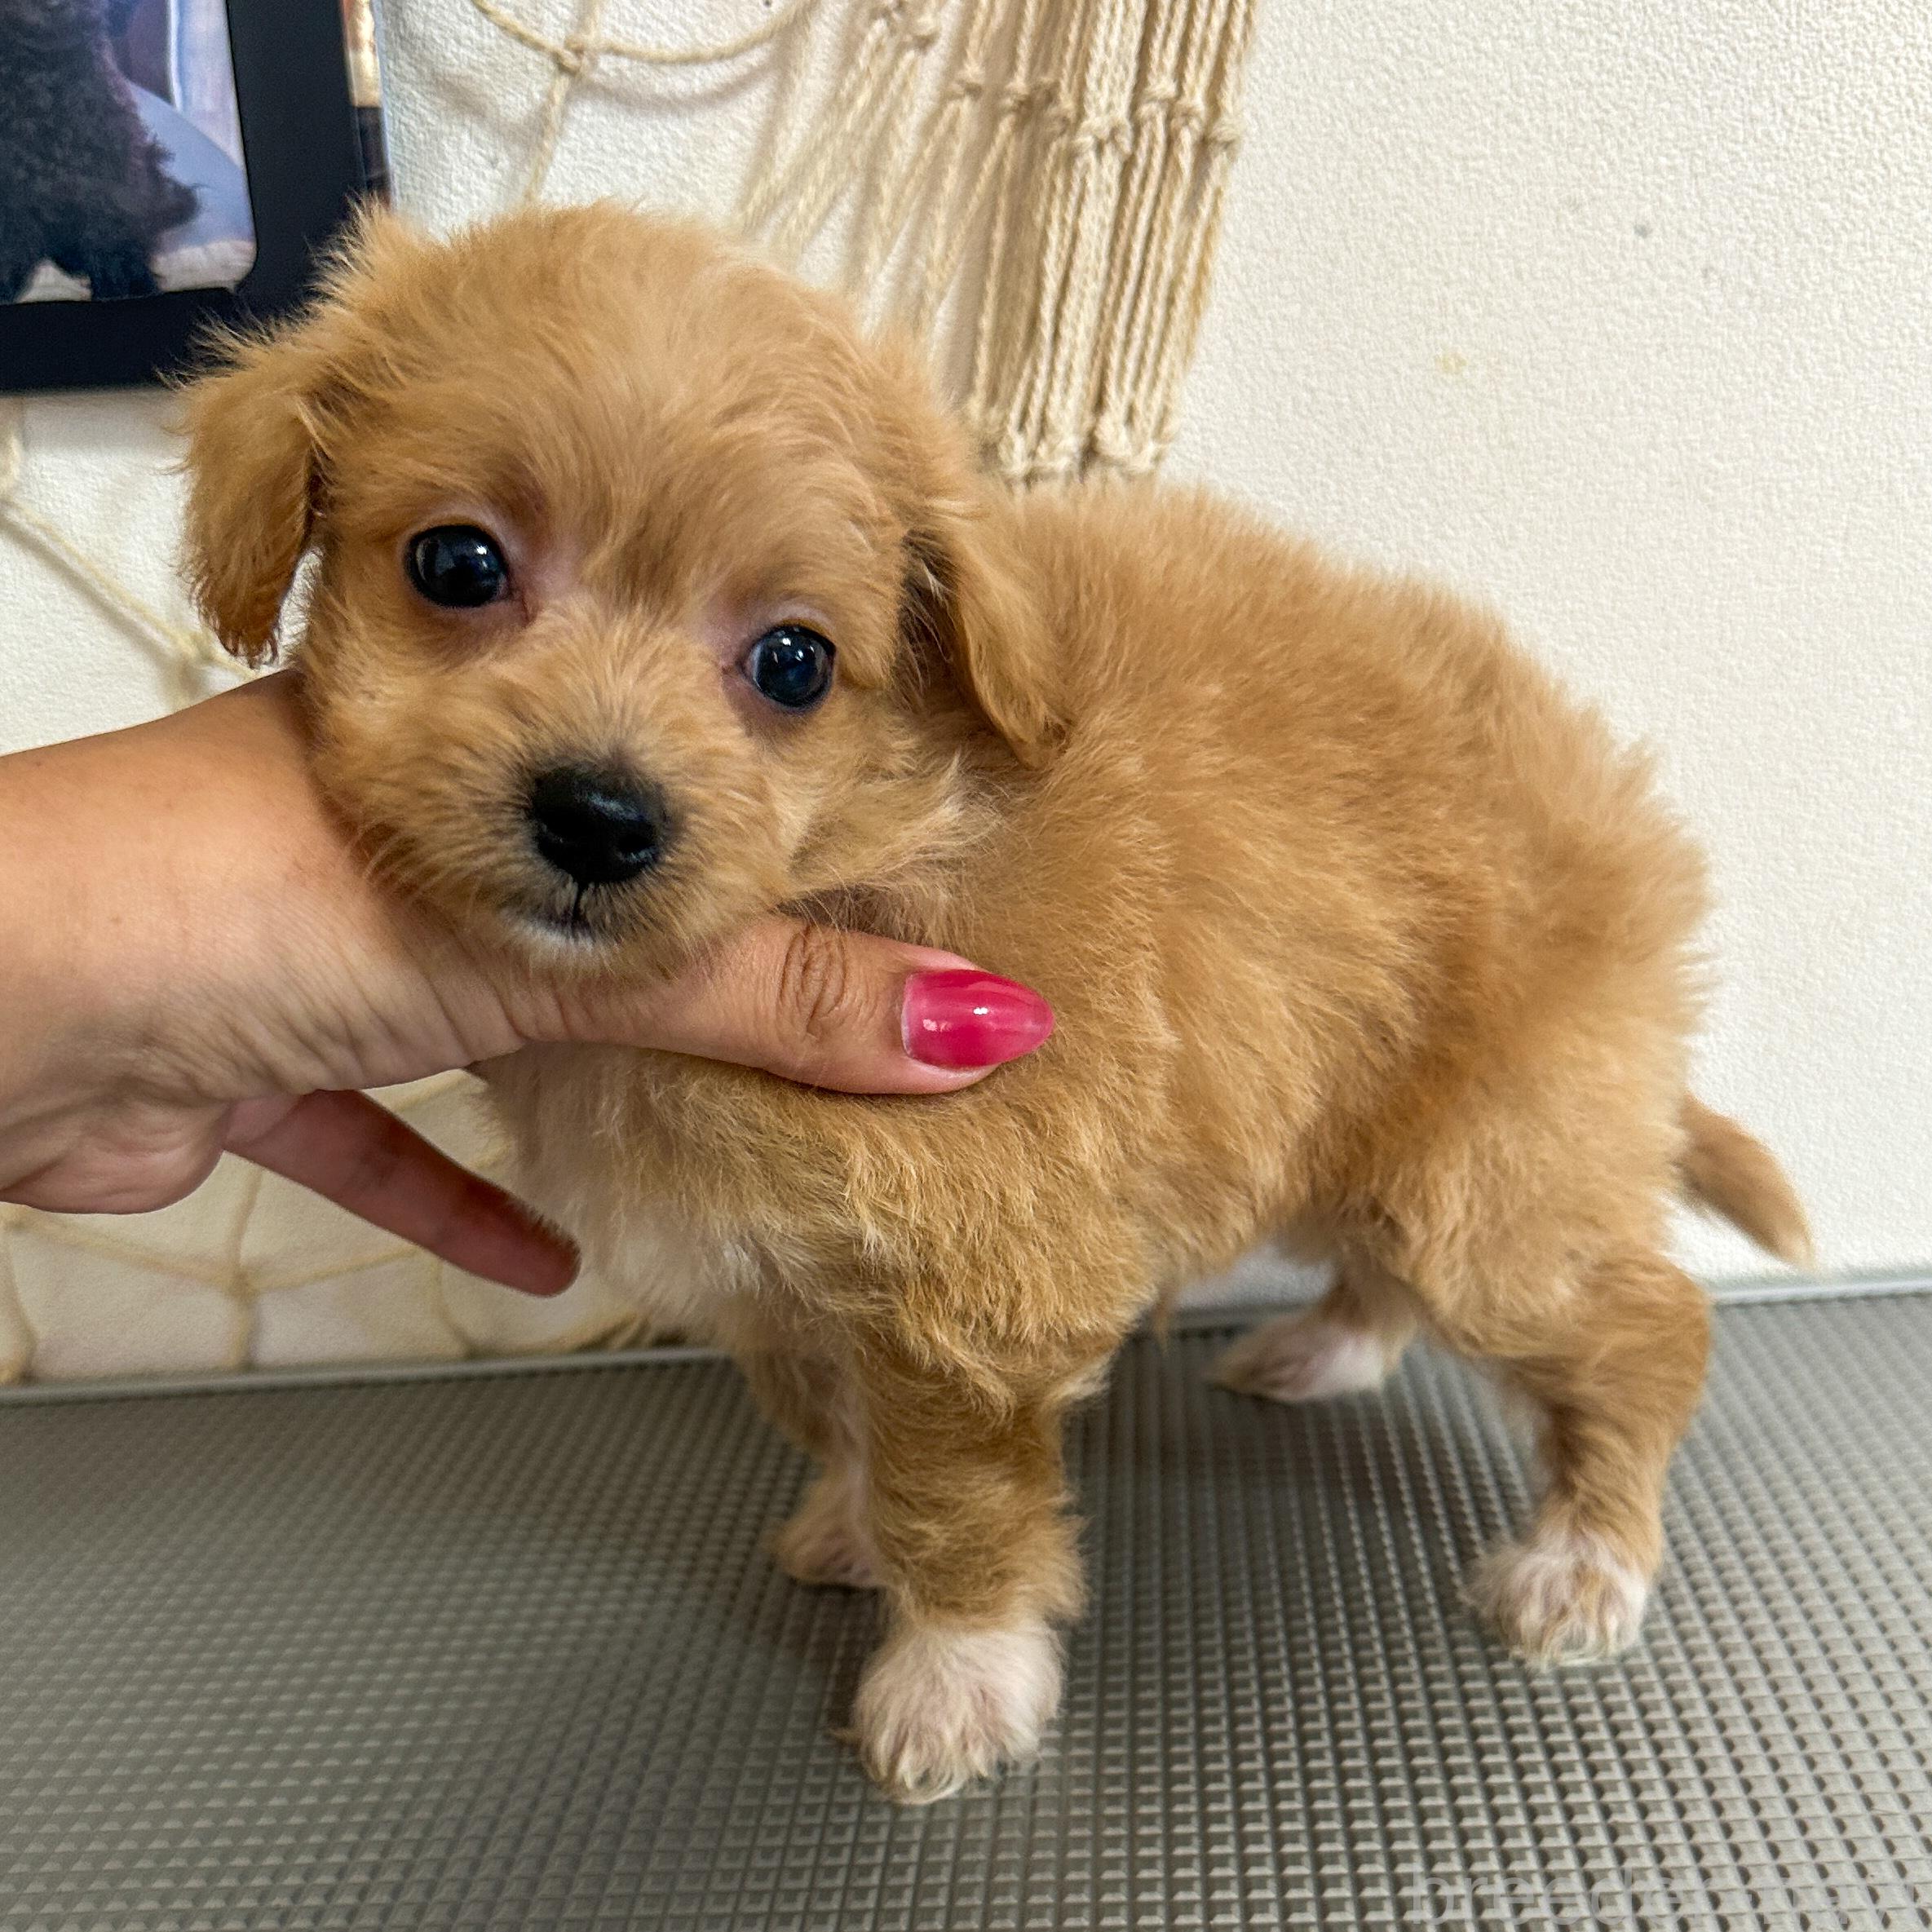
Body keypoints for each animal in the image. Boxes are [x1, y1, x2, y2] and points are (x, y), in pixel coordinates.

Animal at [0, 0, 199, 303]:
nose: (54, 5)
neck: (44, 69)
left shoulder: (113, 160)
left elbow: (112, 222)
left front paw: (124, 281)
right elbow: (11, 229)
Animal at [178, 204, 1810, 1802]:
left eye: (792, 662)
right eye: (456, 565)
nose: (598, 814)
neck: (857, 854)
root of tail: (1617, 811)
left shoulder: (972, 1283)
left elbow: (950, 1498)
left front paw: (955, 1677)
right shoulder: (775, 1279)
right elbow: (840, 1427)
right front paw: (847, 1530)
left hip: (1486, 1183)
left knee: (1643, 1325)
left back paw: (1583, 1558)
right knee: (1396, 1274)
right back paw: (1322, 1350)